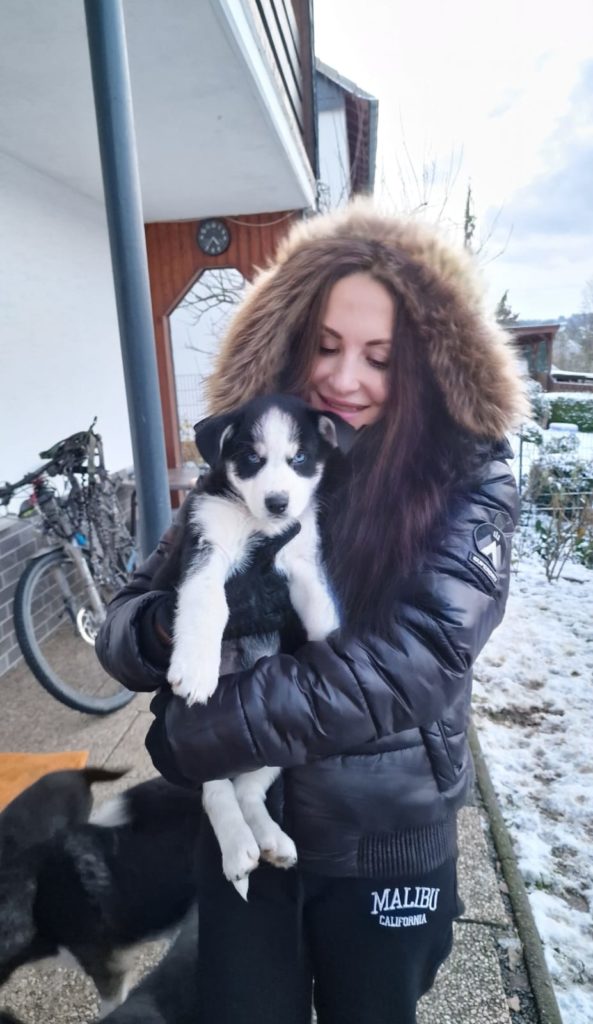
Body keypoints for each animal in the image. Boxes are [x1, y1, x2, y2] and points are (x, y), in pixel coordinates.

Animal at [155, 393, 352, 897]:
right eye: (251, 459)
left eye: (299, 459)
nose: (278, 503)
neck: (252, 521)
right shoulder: (206, 549)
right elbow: (209, 604)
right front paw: (197, 668)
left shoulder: (301, 560)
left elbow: (322, 607)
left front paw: (335, 650)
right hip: (189, 736)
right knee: (216, 791)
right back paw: (238, 848)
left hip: (279, 743)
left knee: (247, 788)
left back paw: (270, 840)